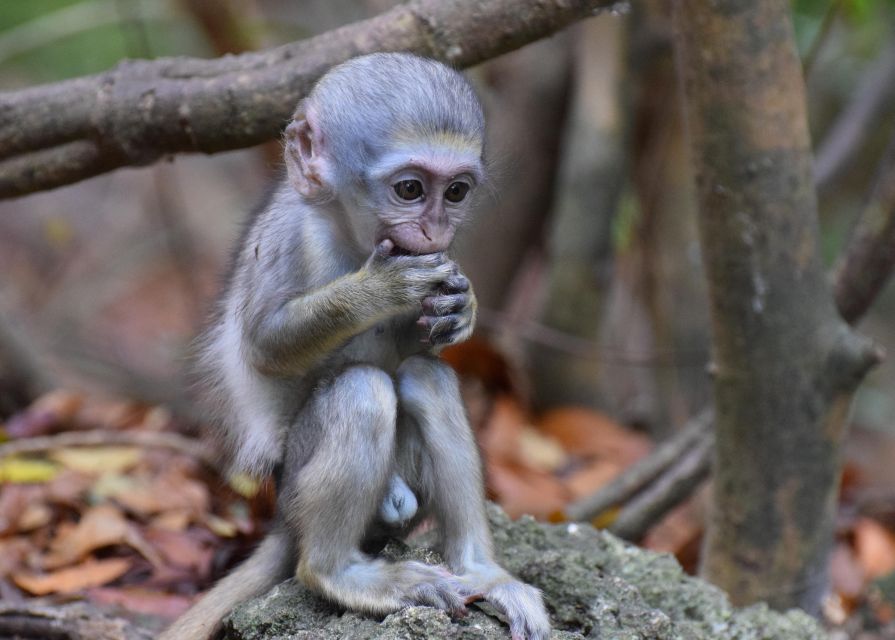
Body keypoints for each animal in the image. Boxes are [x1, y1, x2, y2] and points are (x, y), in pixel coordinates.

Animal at [163, 52, 552, 636]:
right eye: (410, 190)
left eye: (455, 192)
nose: (435, 229)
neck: (348, 234)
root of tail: (283, 518)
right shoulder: (293, 239)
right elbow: (264, 347)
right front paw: (378, 290)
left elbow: (423, 344)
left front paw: (464, 306)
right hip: (299, 482)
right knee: (361, 389)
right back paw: (337, 573)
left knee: (426, 377)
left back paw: (482, 572)